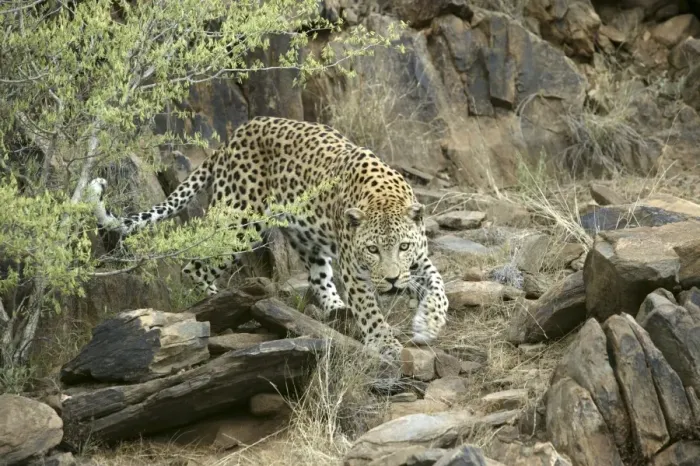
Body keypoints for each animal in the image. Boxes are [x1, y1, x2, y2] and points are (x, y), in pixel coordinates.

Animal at [87, 116, 449, 360]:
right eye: (372, 250)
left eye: (403, 246)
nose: (391, 280)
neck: (384, 198)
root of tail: (232, 138)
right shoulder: (355, 271)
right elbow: (371, 310)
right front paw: (385, 343)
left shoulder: (419, 260)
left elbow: (439, 287)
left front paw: (428, 324)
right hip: (239, 223)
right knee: (194, 266)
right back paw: (219, 305)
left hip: (303, 234)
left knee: (318, 275)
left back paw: (336, 308)